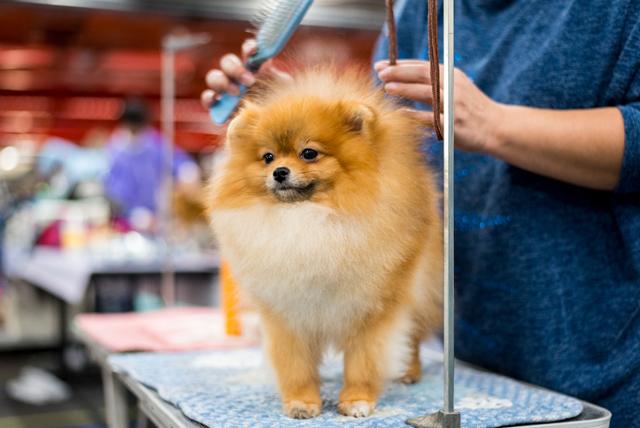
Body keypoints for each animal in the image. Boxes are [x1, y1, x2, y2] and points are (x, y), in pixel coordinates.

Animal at [208, 67, 442, 418]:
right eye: (267, 157)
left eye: (309, 153)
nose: (279, 171)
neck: (308, 220)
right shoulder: (287, 313)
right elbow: (296, 366)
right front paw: (302, 402)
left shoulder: (372, 309)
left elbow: (363, 362)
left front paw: (357, 400)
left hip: (419, 288)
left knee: (413, 336)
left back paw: (409, 372)